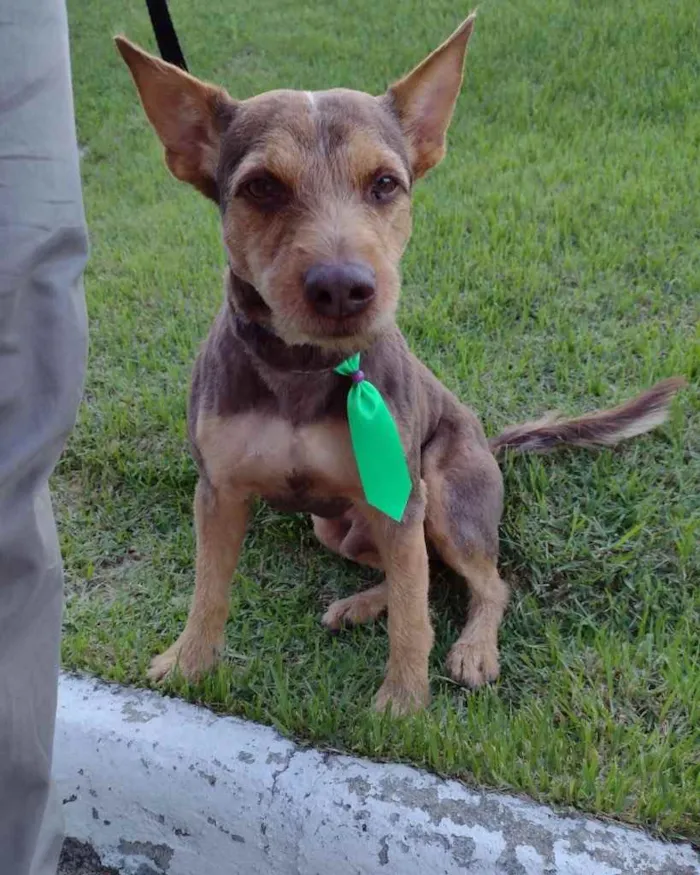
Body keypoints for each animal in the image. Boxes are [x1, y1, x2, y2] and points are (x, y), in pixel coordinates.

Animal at [116, 13, 684, 716]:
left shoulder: (404, 498)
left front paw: (404, 700)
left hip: (441, 497)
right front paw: (189, 662)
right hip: (338, 526)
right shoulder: (218, 494)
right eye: (261, 187)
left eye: (385, 183)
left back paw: (472, 648)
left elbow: (416, 617)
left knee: (481, 582)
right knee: (418, 572)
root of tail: (490, 446)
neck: (305, 368)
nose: (342, 288)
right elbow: (209, 592)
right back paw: (364, 604)